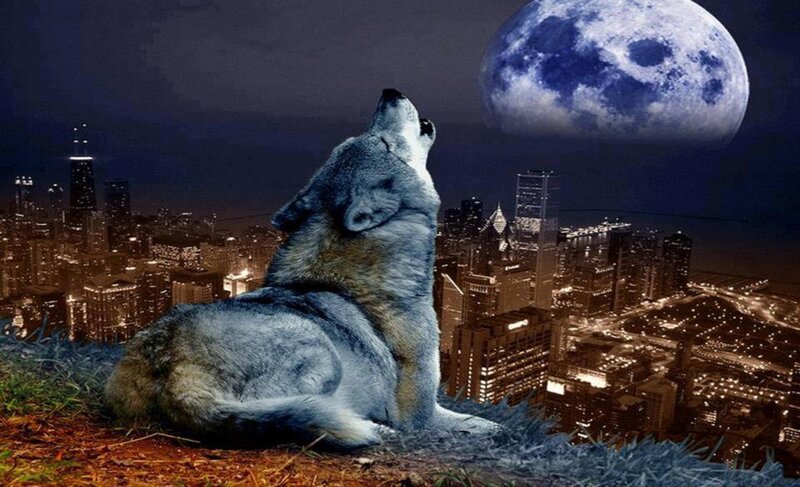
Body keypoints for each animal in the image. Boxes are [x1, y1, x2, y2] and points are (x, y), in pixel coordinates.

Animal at [105, 89, 498, 449]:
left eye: (374, 138)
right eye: (384, 144)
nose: (389, 92)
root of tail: (175, 376)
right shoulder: (421, 414)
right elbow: (474, 423)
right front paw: (488, 427)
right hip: (320, 351)